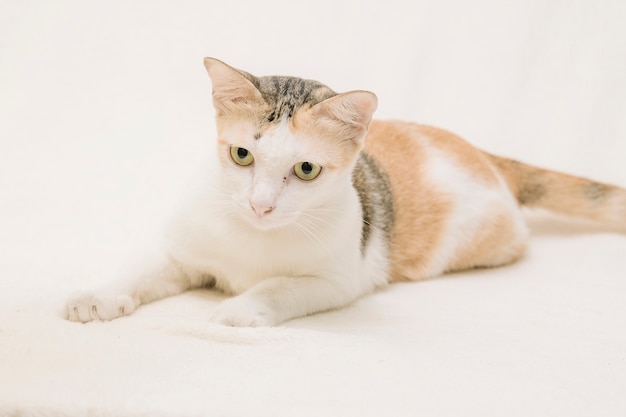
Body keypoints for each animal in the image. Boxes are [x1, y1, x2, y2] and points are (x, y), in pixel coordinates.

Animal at [64, 57, 624, 326]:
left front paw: (242, 306)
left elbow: (278, 286)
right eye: (242, 155)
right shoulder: (180, 252)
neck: (252, 236)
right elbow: (139, 269)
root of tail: (476, 149)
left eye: (306, 169)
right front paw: (97, 295)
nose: (260, 205)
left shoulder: (337, 281)